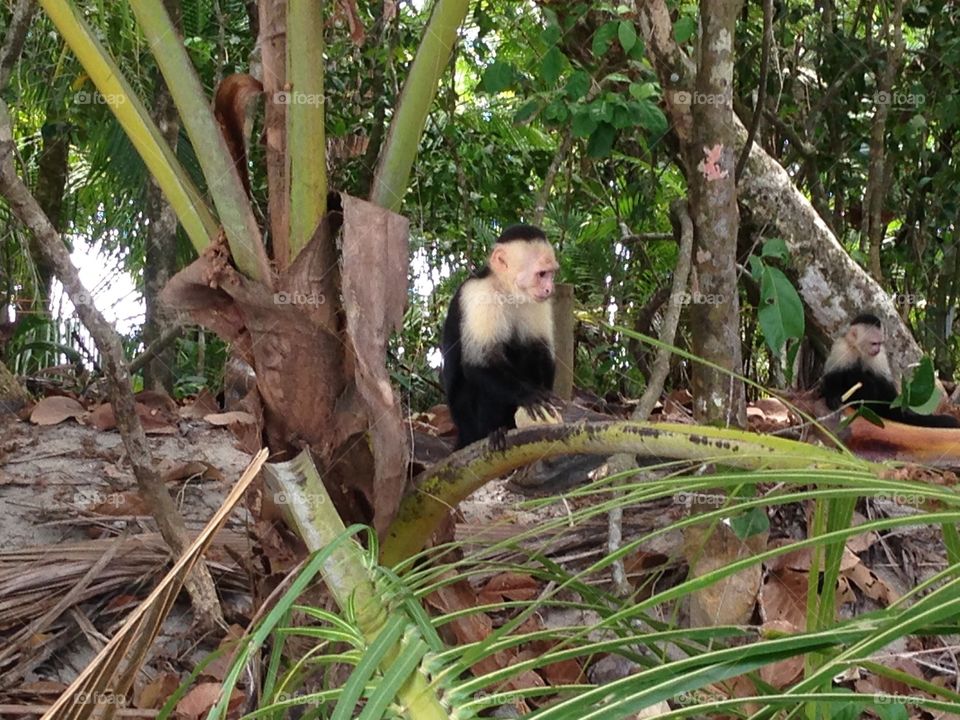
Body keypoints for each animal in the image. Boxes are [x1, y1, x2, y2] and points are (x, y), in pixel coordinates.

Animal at [440, 224, 560, 449]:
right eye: (541, 274)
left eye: (551, 274)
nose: (550, 289)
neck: (507, 290)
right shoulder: (478, 294)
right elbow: (480, 362)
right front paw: (530, 395)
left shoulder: (538, 302)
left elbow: (542, 350)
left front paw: (545, 394)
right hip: (468, 420)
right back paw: (495, 431)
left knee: (528, 347)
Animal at [820, 313, 960, 428]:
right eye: (874, 343)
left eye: (879, 343)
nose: (877, 349)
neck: (859, 350)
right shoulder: (842, 348)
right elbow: (833, 373)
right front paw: (832, 397)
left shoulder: (879, 356)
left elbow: (884, 382)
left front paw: (904, 410)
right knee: (852, 373)